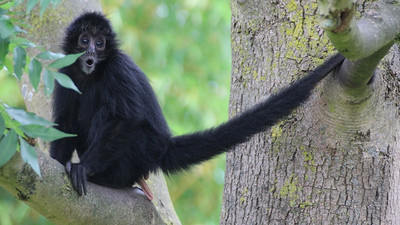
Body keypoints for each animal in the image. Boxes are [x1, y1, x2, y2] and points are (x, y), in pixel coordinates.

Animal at [49, 11, 344, 200]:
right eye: (84, 40)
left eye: (100, 43)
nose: (90, 53)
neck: (92, 74)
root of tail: (160, 149)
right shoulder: (65, 70)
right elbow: (66, 122)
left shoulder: (117, 68)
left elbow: (127, 119)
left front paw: (84, 168)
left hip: (135, 152)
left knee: (110, 115)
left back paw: (107, 178)